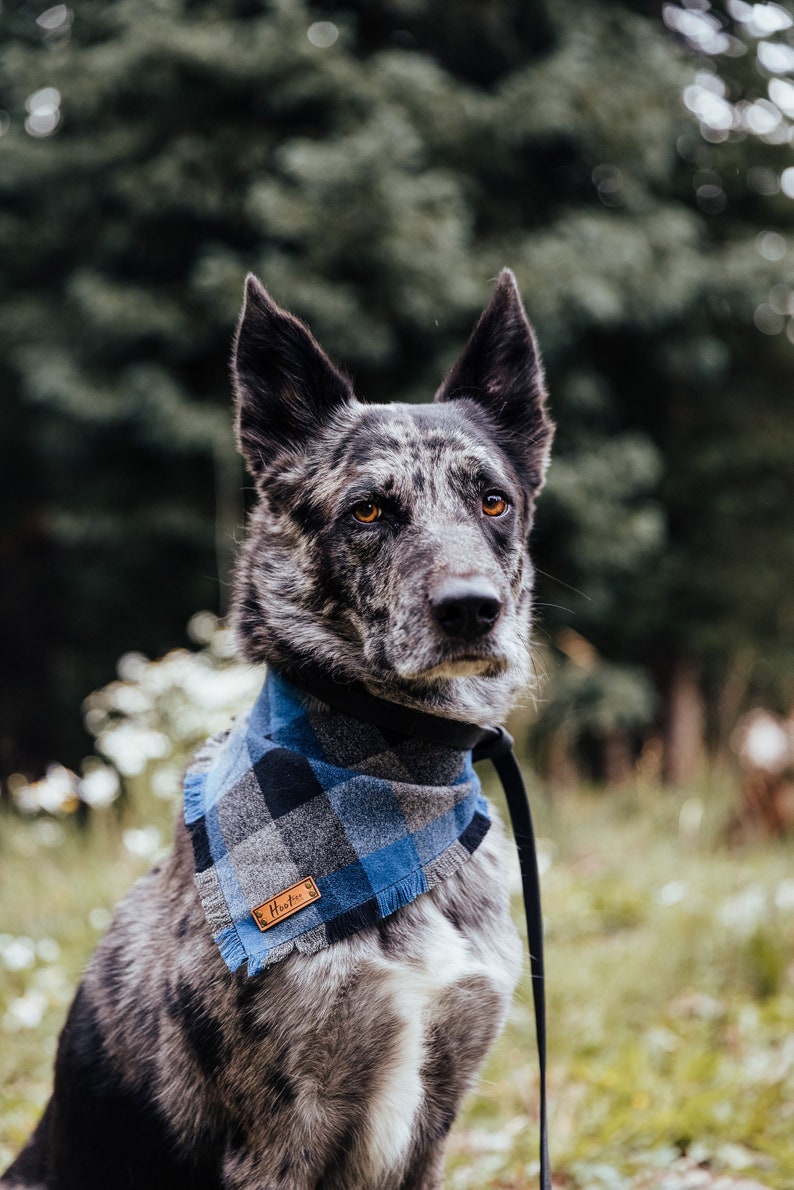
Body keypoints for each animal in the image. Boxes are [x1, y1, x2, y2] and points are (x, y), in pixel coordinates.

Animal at [1, 270, 552, 1190]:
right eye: (367, 512)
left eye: (493, 501)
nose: (474, 610)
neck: (391, 780)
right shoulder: (277, 1135)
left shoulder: (437, 1110)